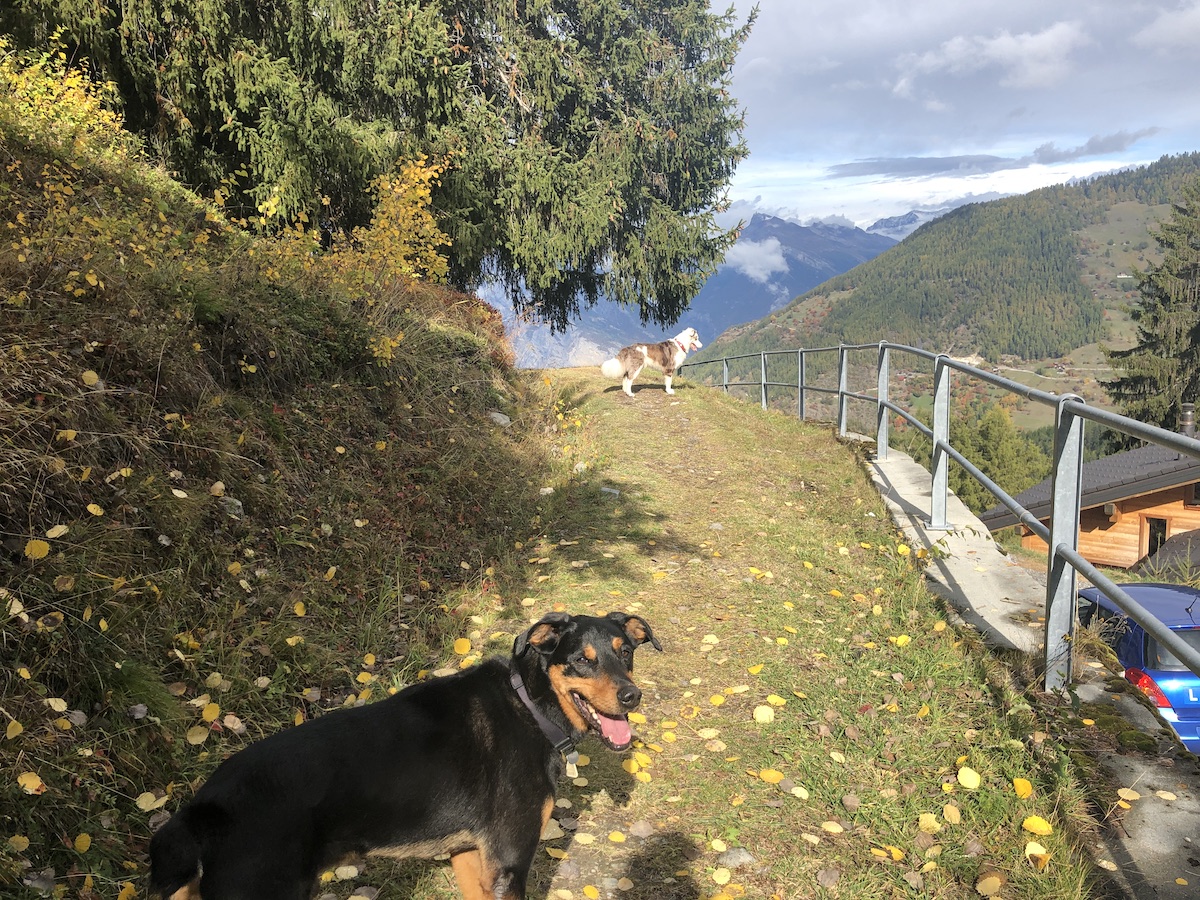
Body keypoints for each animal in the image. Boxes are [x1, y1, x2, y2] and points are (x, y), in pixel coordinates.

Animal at [148, 611, 660, 900]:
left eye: (627, 652)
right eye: (581, 661)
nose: (632, 696)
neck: (530, 706)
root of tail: (200, 809)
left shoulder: (470, 857)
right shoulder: (510, 862)